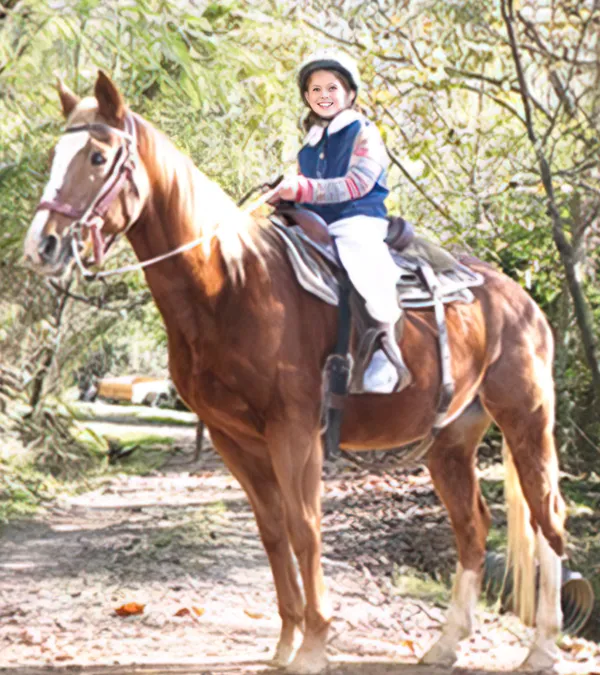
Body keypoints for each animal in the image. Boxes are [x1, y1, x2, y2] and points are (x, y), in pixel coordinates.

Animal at [24, 71, 568, 672]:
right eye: (55, 155)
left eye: (98, 157)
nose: (42, 245)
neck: (231, 285)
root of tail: (521, 300)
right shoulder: (233, 437)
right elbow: (273, 531)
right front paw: (286, 641)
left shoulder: (295, 432)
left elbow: (306, 530)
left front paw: (313, 644)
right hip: (451, 442)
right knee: (473, 527)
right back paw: (445, 644)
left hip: (527, 421)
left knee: (549, 519)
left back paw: (543, 646)